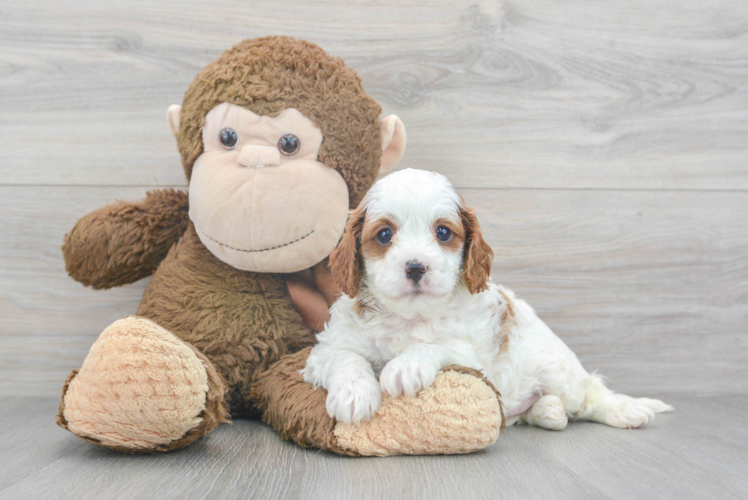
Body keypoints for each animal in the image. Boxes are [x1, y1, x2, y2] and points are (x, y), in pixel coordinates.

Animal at [300, 169, 676, 430]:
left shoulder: (473, 356)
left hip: (560, 373)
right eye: (383, 235)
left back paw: (626, 410)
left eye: (443, 232)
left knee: (592, 394)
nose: (416, 266)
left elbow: (437, 344)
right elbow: (345, 358)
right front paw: (354, 394)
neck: (410, 317)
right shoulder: (326, 349)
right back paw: (548, 411)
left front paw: (405, 366)